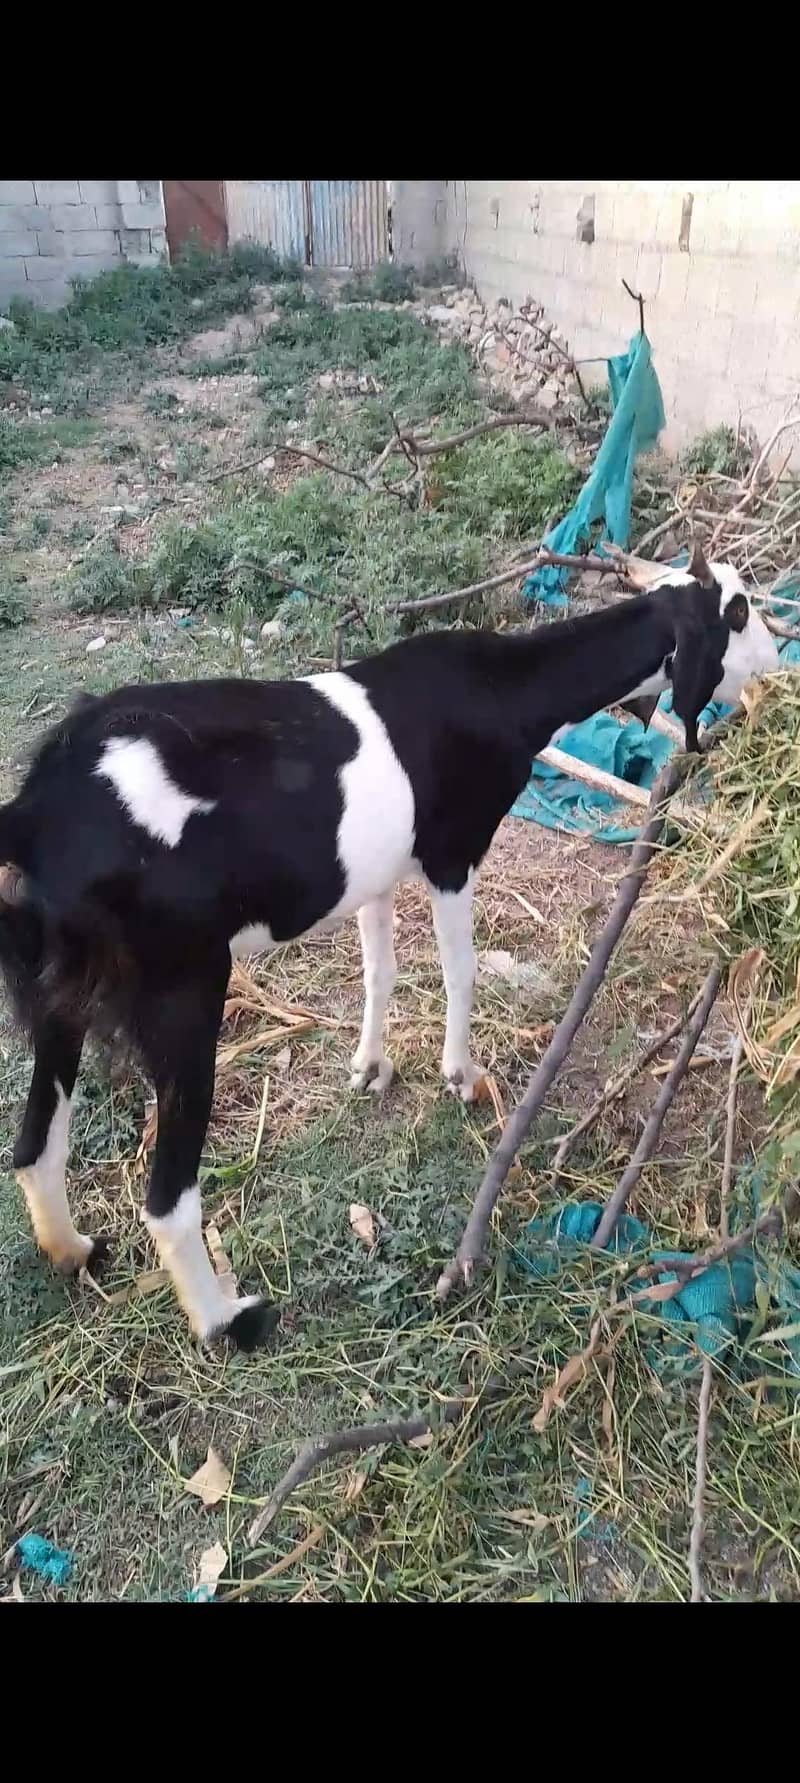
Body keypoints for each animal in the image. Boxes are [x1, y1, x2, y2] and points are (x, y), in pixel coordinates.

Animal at [0, 543, 778, 1348]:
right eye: (738, 611)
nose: (778, 662)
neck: (499, 689)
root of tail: (35, 814)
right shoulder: (452, 855)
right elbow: (459, 969)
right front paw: (461, 1076)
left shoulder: (373, 875)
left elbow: (381, 969)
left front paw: (370, 1067)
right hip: (182, 990)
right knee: (167, 1200)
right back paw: (229, 1320)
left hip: (60, 993)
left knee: (34, 1146)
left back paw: (73, 1249)